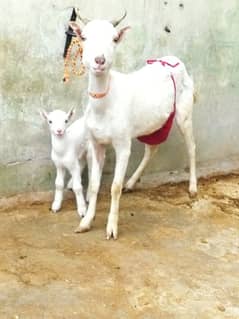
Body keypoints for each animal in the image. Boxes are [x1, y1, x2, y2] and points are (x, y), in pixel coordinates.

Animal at [69, 11, 196, 239]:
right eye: (84, 37)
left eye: (114, 39)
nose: (99, 60)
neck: (105, 105)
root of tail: (173, 61)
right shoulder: (96, 142)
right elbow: (93, 185)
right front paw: (85, 223)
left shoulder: (122, 142)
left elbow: (114, 187)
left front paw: (111, 229)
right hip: (154, 122)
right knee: (152, 148)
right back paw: (131, 183)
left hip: (184, 111)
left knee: (191, 146)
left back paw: (192, 188)